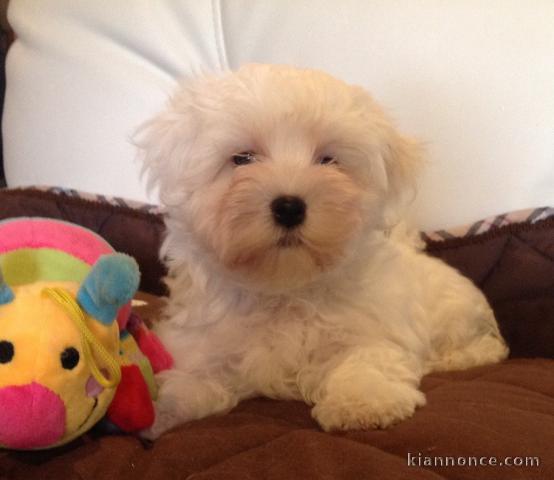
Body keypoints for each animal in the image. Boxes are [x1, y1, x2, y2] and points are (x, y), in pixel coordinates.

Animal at [137, 63, 504, 438]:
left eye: (328, 160)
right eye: (242, 159)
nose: (289, 207)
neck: (284, 289)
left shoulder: (370, 327)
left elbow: (366, 358)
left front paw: (363, 401)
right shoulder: (203, 340)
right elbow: (194, 375)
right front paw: (161, 407)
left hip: (457, 317)